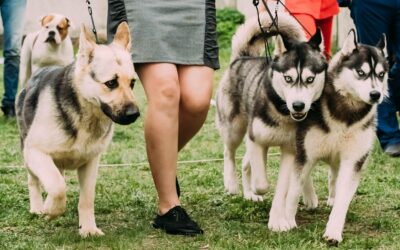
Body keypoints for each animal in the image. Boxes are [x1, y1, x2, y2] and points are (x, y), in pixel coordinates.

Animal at [15, 21, 140, 236]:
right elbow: (57, 186)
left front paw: (88, 228)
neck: (86, 112)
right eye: (111, 83)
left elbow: (86, 199)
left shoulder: (91, 163)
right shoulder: (35, 152)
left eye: (132, 83)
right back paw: (38, 207)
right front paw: (51, 209)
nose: (134, 114)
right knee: (36, 181)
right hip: (28, 155)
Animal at [217, 11, 326, 202]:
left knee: (244, 162)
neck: (284, 114)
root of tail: (243, 56)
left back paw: (249, 193)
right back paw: (232, 183)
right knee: (228, 152)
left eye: (310, 79)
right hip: (234, 128)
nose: (298, 105)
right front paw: (256, 188)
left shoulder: (295, 148)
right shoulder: (256, 140)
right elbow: (261, 183)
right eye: (288, 78)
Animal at [270, 29, 390, 244]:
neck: (346, 115)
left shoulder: (353, 160)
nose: (376, 94)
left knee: (334, 176)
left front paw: (333, 231)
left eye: (381, 74)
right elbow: (293, 190)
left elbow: (343, 198)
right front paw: (287, 220)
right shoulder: (305, 154)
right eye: (361, 73)